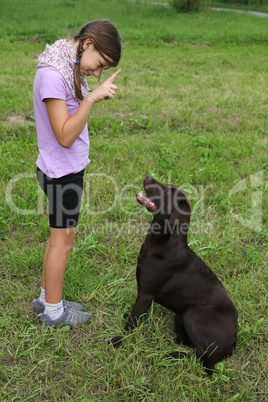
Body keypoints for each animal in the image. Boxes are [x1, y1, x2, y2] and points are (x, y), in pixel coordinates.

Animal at [110, 174, 238, 376]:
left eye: (167, 191)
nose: (148, 175)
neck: (161, 241)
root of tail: (233, 343)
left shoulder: (145, 294)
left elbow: (131, 322)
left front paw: (118, 341)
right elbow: (134, 316)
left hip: (193, 311)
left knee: (200, 357)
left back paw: (172, 355)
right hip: (181, 314)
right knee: (189, 345)